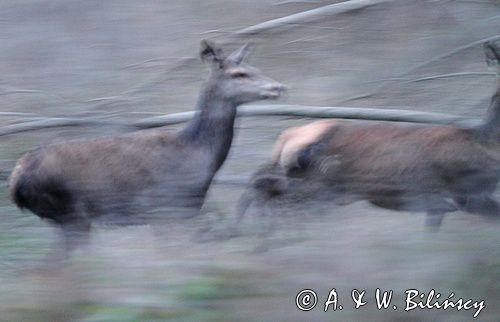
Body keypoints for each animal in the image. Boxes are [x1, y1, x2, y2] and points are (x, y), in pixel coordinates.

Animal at [8, 40, 286, 253]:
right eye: (238, 74)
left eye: (255, 67)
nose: (278, 86)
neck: (196, 156)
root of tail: (16, 179)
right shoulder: (166, 209)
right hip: (71, 212)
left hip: (65, 218)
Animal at [234, 41, 500, 230]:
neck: (486, 141)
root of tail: (288, 135)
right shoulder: (467, 190)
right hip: (320, 182)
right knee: (264, 185)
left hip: (313, 182)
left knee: (261, 179)